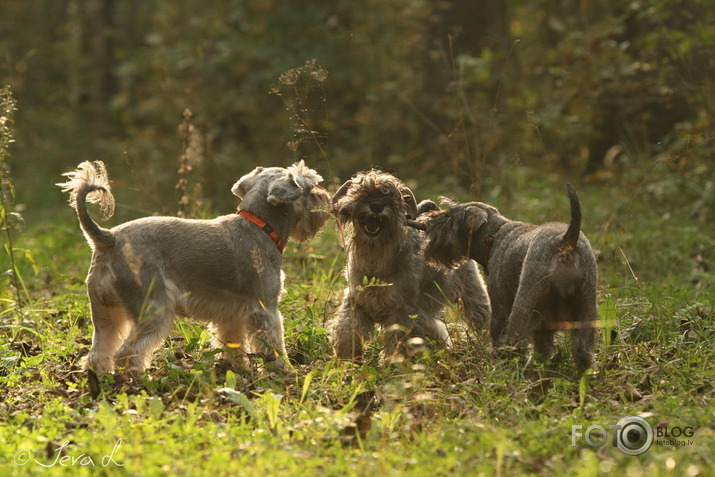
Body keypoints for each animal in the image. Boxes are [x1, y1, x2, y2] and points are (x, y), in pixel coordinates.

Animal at [57, 158, 332, 374]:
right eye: (310, 186)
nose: (326, 197)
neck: (260, 225)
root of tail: (108, 238)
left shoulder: (231, 314)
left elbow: (232, 343)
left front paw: (235, 367)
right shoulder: (266, 309)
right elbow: (274, 344)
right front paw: (283, 371)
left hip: (105, 313)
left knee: (98, 351)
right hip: (153, 307)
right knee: (128, 351)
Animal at [328, 169, 492, 358]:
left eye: (393, 195)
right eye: (361, 190)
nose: (376, 205)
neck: (376, 260)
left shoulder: (402, 310)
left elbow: (397, 340)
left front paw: (392, 361)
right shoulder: (356, 301)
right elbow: (348, 327)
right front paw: (347, 355)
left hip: (472, 291)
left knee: (480, 316)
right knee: (434, 327)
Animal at [416, 183, 600, 372]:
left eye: (449, 215)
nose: (427, 219)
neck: (493, 236)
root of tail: (566, 243)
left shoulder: (500, 305)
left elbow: (497, 333)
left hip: (525, 302)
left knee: (514, 341)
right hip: (586, 309)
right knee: (582, 350)